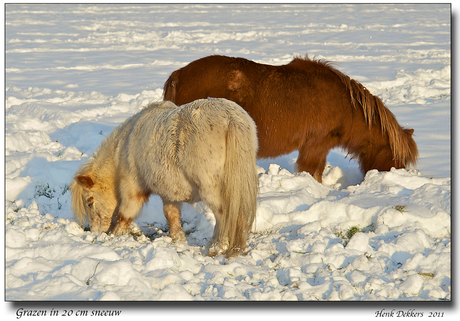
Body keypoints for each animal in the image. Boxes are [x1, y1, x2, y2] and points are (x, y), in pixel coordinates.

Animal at [71, 97, 258, 255]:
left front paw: (116, 235)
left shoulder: (132, 187)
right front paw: (177, 239)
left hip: (211, 190)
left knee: (223, 216)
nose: (95, 233)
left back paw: (216, 247)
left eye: (89, 203)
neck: (124, 147)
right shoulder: (170, 191)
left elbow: (125, 214)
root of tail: (230, 117)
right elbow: (172, 215)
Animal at [164, 53, 418, 181]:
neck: (345, 104)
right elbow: (312, 173)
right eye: (398, 158)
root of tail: (179, 74)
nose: (396, 176)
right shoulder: (316, 146)